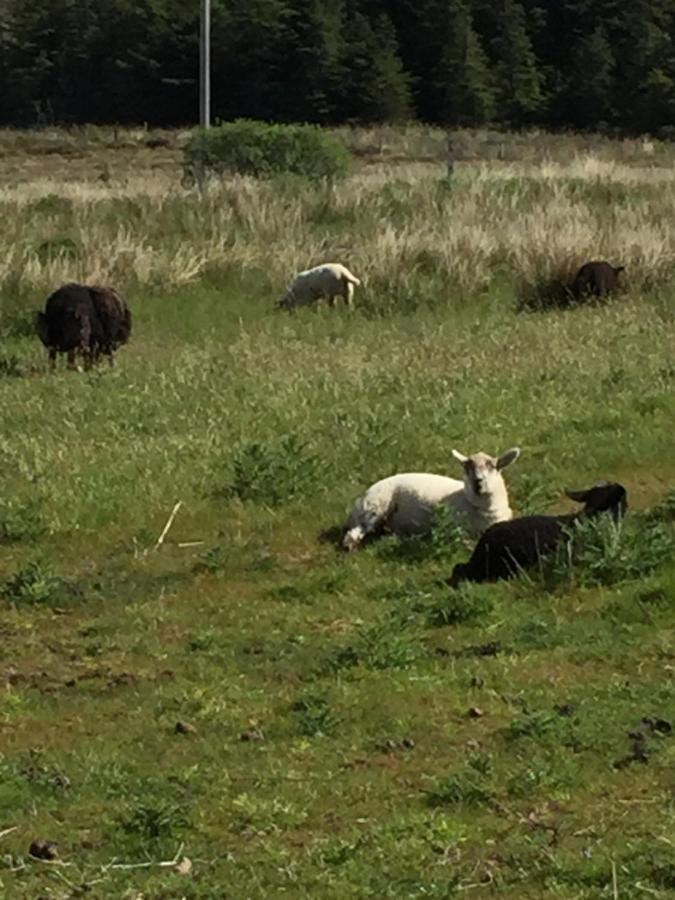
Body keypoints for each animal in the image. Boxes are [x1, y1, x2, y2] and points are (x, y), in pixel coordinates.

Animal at [344, 448, 524, 552]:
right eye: (467, 468)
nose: (477, 482)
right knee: (353, 534)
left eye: (492, 466)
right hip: (374, 507)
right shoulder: (454, 528)